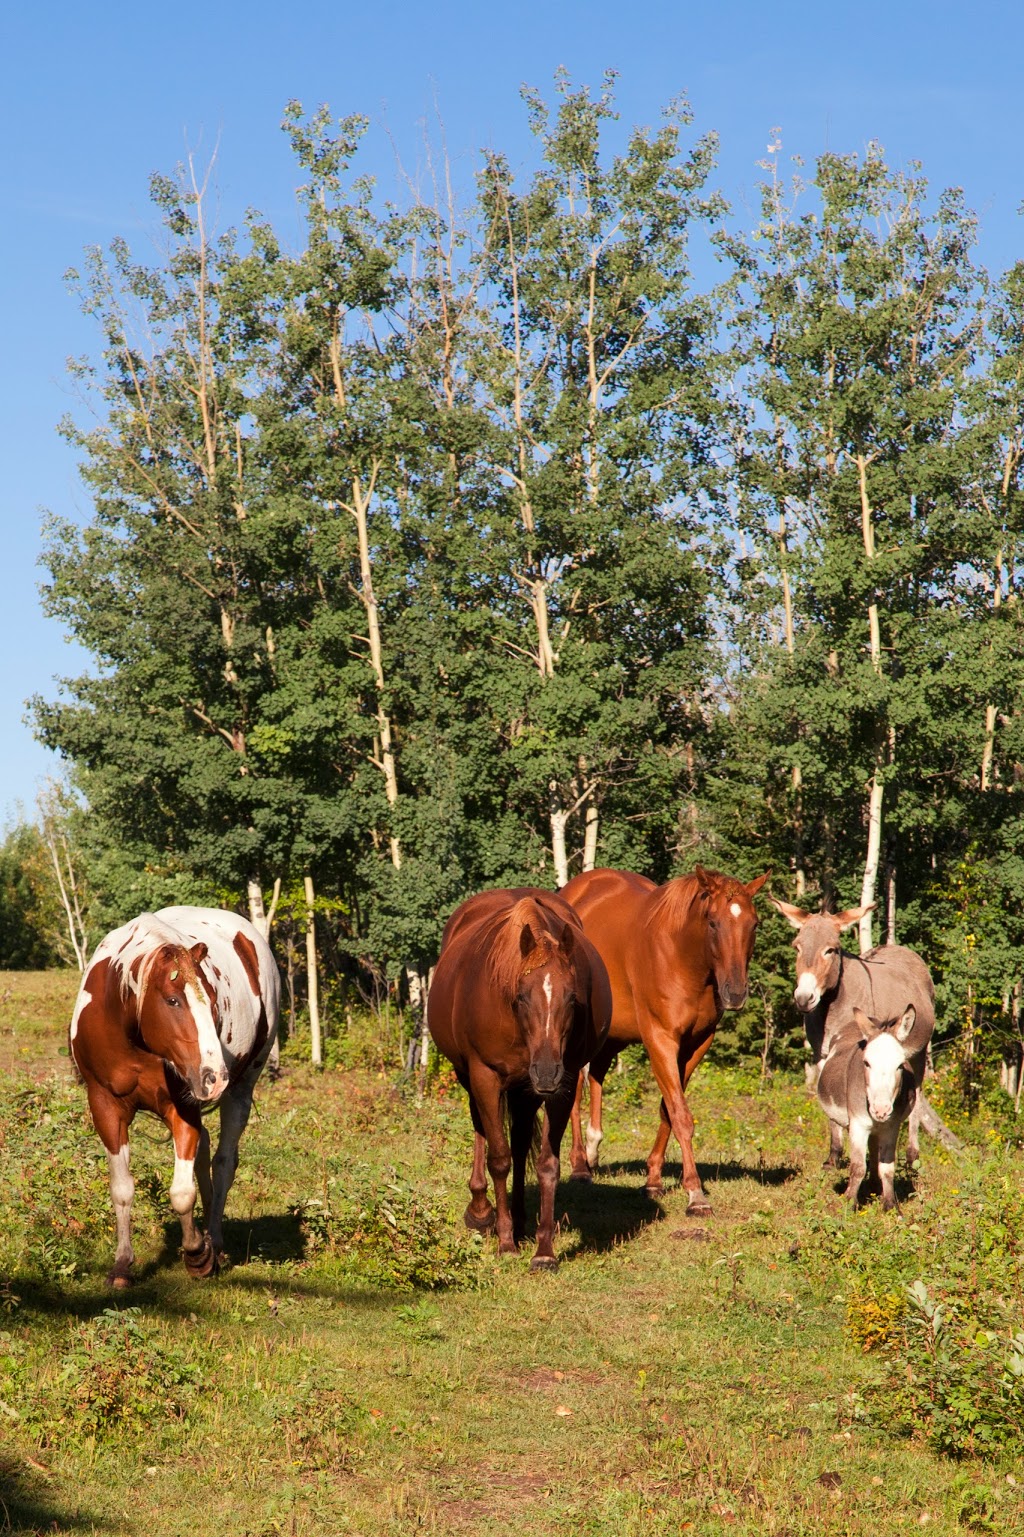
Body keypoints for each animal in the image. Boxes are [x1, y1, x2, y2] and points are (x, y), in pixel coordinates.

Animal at [70, 897, 279, 1284]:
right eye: (172, 1001)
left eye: (212, 999)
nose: (215, 1076)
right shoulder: (105, 1107)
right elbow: (122, 1189)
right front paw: (122, 1265)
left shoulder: (183, 1108)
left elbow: (182, 1192)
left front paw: (198, 1253)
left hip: (242, 1090)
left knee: (223, 1163)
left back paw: (216, 1243)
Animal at [421, 885, 605, 1266]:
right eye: (521, 996)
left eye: (571, 998)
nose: (547, 1072)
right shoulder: (485, 1077)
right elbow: (499, 1159)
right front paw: (505, 1241)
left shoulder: (561, 1087)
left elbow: (546, 1164)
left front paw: (544, 1252)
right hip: (473, 1078)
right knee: (483, 1131)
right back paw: (482, 1212)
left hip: (525, 1090)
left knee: (521, 1146)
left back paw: (520, 1222)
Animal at [559, 866, 765, 1211]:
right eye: (713, 922)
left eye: (754, 923)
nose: (735, 993)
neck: (682, 956)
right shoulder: (661, 1039)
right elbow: (680, 1114)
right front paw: (695, 1194)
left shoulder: (696, 1044)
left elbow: (668, 1109)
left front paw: (653, 1180)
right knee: (573, 1095)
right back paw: (579, 1167)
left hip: (612, 1035)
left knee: (596, 1077)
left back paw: (592, 1150)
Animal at [765, 897, 934, 1161]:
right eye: (797, 948)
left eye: (831, 950)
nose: (804, 998)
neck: (833, 1006)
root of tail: (900, 949)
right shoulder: (821, 1054)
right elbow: (827, 1097)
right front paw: (834, 1155)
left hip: (918, 1051)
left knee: (916, 1096)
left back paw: (912, 1156)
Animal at [817, 1008, 922, 1211]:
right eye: (866, 1063)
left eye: (900, 1065)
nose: (881, 1110)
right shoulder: (858, 1125)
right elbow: (858, 1167)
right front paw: (849, 1203)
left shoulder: (891, 1127)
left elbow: (887, 1168)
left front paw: (890, 1205)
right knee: (836, 1129)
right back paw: (832, 1162)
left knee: (874, 1149)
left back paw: (874, 1184)